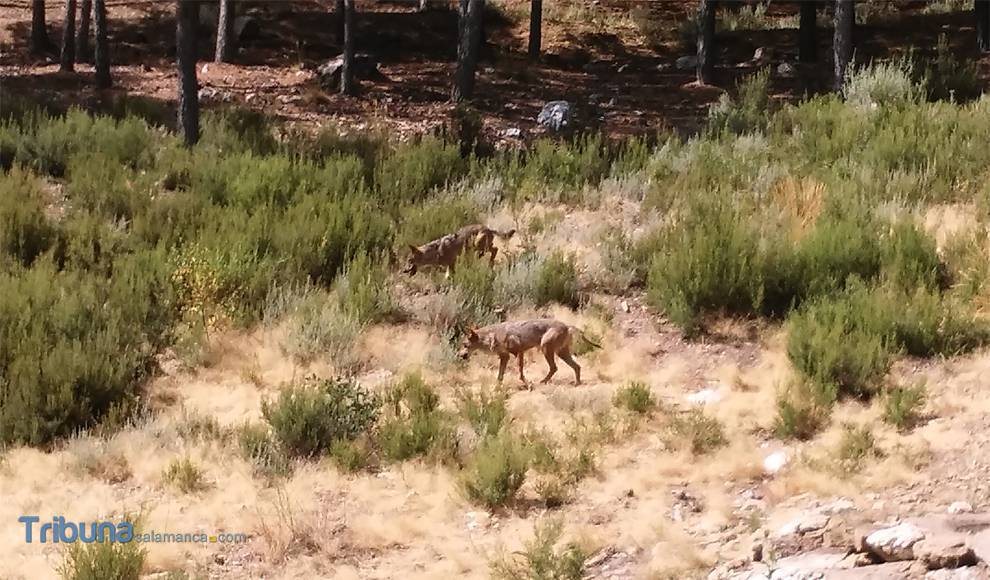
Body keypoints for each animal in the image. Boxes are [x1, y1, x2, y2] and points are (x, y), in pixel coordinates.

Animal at [457, 318, 599, 387]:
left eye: (464, 345)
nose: (459, 355)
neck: (491, 336)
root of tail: (567, 325)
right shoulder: (506, 356)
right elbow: (501, 375)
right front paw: (498, 387)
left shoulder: (518, 352)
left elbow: (520, 372)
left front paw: (527, 384)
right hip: (561, 353)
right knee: (577, 366)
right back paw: (577, 383)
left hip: (546, 349)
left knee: (555, 367)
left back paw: (544, 381)